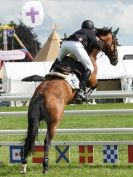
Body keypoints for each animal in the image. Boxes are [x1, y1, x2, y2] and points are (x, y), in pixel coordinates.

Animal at [21, 27, 119, 174]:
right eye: (116, 42)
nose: (115, 61)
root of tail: (40, 94)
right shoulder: (92, 77)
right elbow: (94, 85)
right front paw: (83, 96)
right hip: (54, 122)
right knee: (47, 141)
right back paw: (45, 167)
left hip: (32, 119)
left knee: (30, 137)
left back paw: (24, 164)